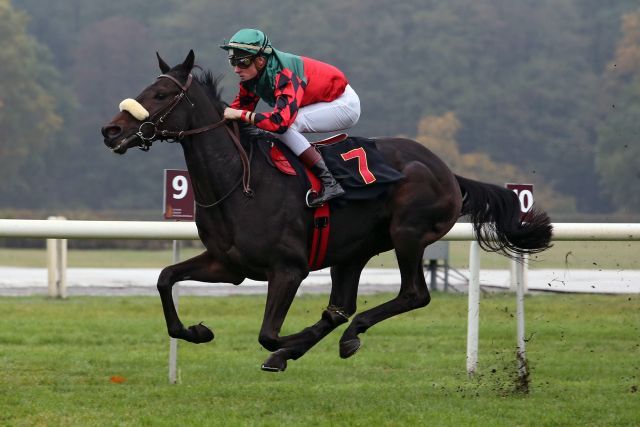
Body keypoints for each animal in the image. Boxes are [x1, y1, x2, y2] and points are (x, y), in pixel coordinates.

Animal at [100, 49, 552, 372]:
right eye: (145, 88)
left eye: (160, 95)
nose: (111, 130)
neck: (240, 184)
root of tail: (447, 171)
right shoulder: (227, 265)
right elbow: (165, 278)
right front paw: (197, 330)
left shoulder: (289, 268)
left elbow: (269, 333)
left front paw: (286, 346)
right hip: (352, 252)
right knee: (340, 308)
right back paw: (335, 338)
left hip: (407, 234)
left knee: (412, 294)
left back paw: (339, 338)